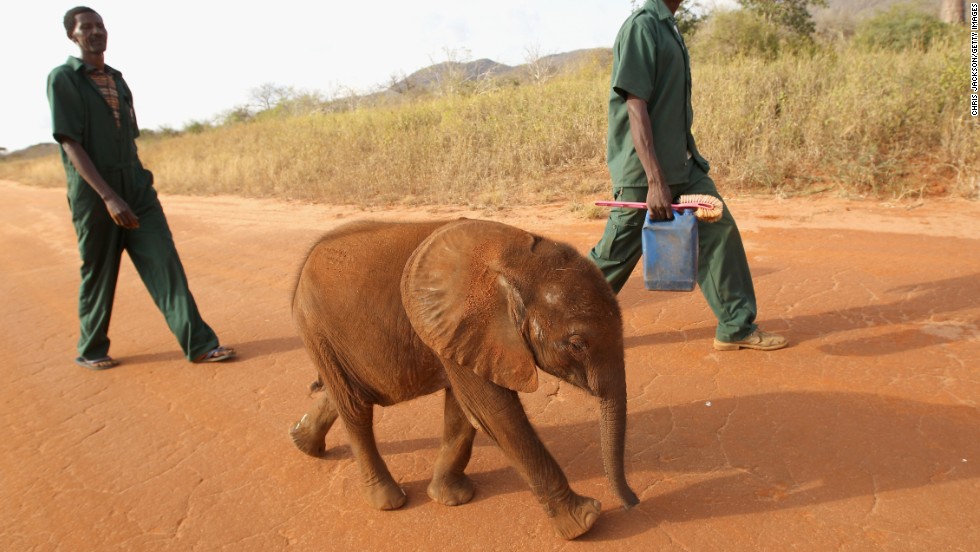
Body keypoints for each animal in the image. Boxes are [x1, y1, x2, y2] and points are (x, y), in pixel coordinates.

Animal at [288, 219, 640, 540]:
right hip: (318, 327)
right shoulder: (465, 323)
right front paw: (585, 522)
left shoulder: (461, 335)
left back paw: (303, 444)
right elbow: (494, 411)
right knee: (355, 409)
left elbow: (464, 409)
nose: (632, 503)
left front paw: (452, 498)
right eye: (577, 344)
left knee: (345, 394)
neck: (513, 260)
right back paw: (388, 501)